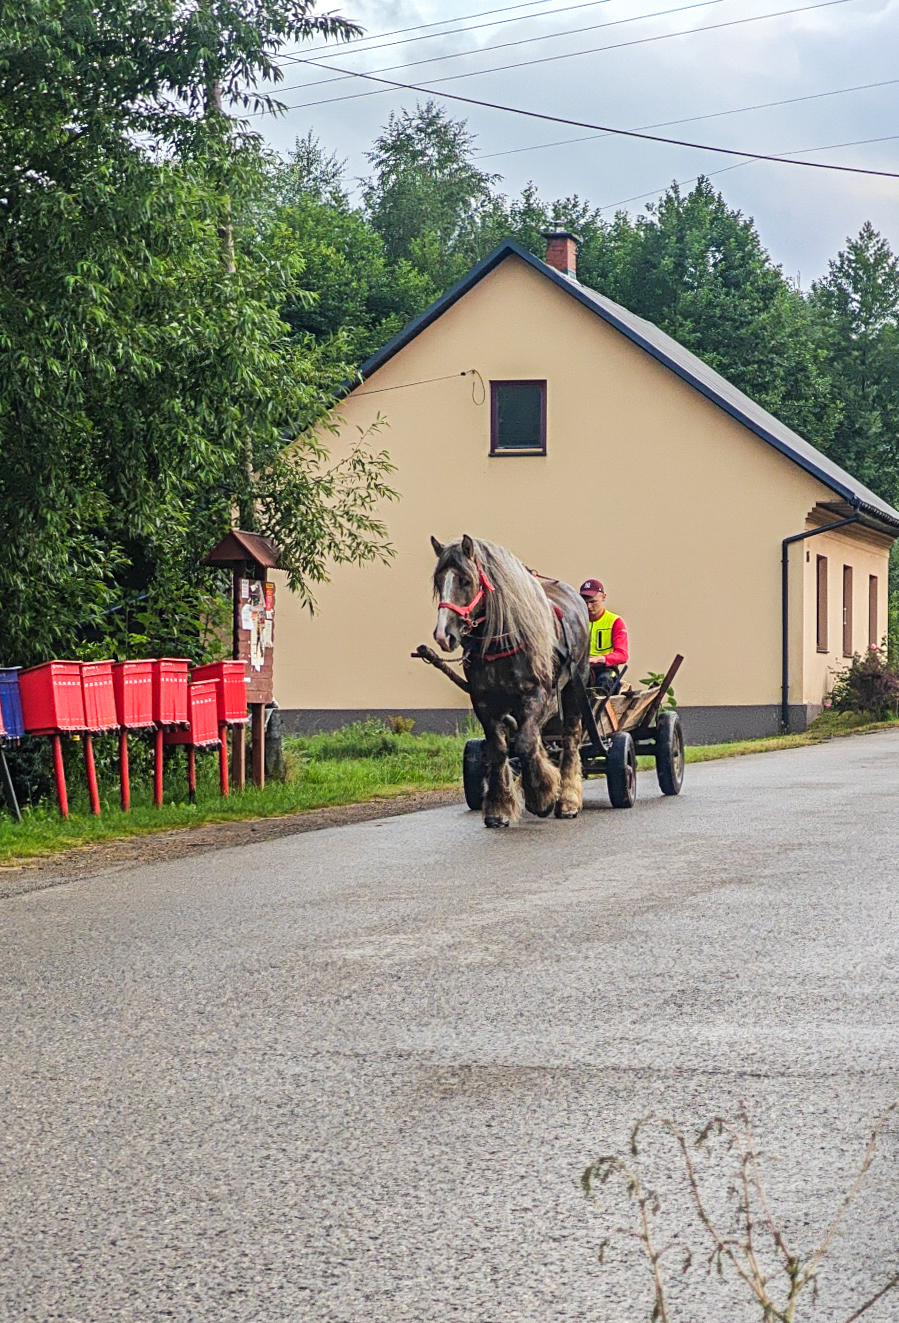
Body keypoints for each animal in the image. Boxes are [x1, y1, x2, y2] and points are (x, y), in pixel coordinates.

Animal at [431, 534, 591, 828]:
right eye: (439, 581)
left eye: (465, 580)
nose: (443, 635)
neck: (503, 640)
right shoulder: (484, 701)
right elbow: (499, 748)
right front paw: (499, 806)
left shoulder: (539, 694)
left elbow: (526, 743)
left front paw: (541, 798)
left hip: (575, 687)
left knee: (570, 739)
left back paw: (568, 800)